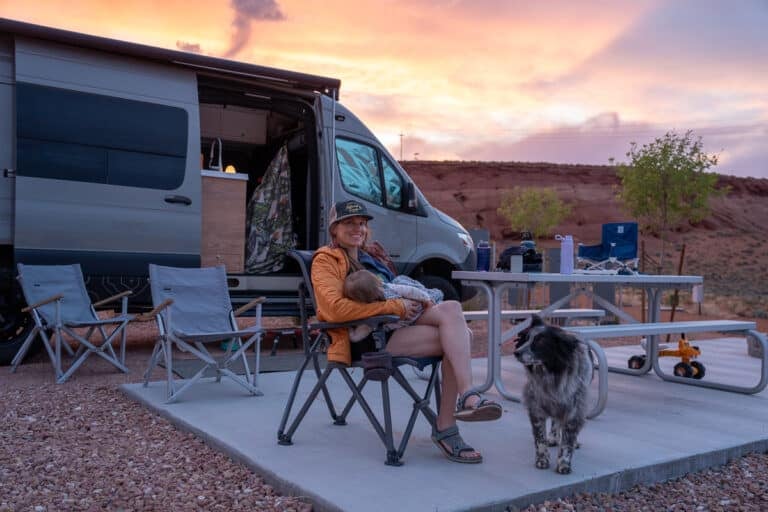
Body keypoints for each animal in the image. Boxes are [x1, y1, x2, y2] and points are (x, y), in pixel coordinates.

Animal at [516, 316, 592, 476]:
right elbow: (540, 438)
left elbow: (567, 441)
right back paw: (552, 438)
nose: (516, 352)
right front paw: (542, 459)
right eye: (527, 338)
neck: (551, 374)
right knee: (555, 422)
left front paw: (564, 464)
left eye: (539, 341)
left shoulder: (574, 408)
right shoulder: (536, 407)